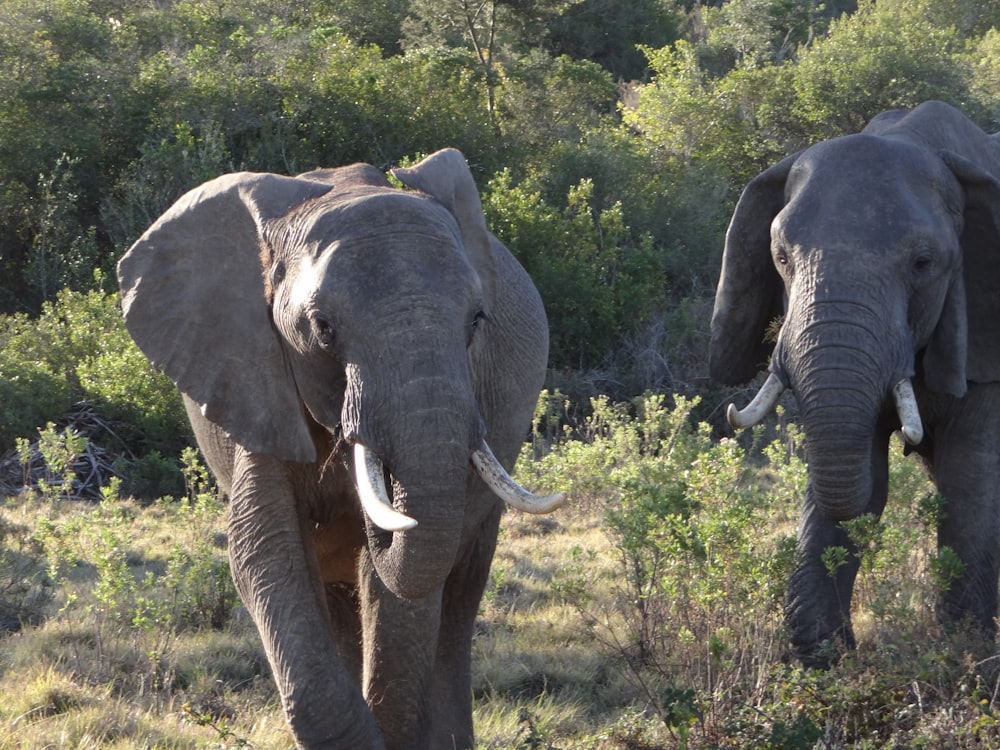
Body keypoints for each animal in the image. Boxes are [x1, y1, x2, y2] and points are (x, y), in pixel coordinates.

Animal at [115, 150, 564, 748]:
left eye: (477, 321)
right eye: (322, 328)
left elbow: (401, 588)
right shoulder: (255, 376)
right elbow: (264, 550)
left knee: (458, 594)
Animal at [708, 101, 1000, 668]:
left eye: (923, 264)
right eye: (780, 257)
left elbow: (970, 474)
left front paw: (966, 652)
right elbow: (863, 471)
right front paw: (822, 658)